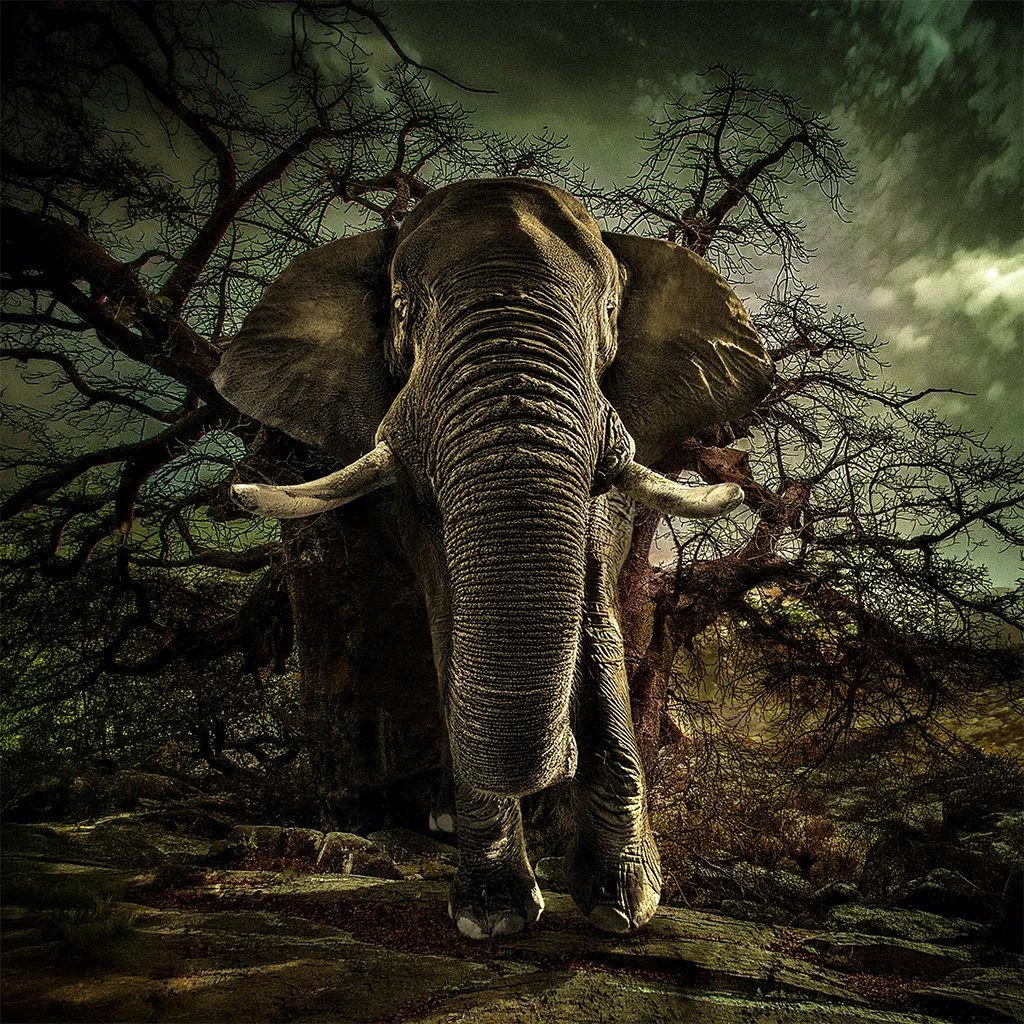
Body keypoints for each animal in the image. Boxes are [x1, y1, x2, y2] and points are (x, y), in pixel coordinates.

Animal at [213, 177, 773, 938]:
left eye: (608, 312)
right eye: (403, 312)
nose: (557, 756)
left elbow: (596, 599)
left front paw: (623, 904)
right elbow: (447, 603)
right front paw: (494, 915)